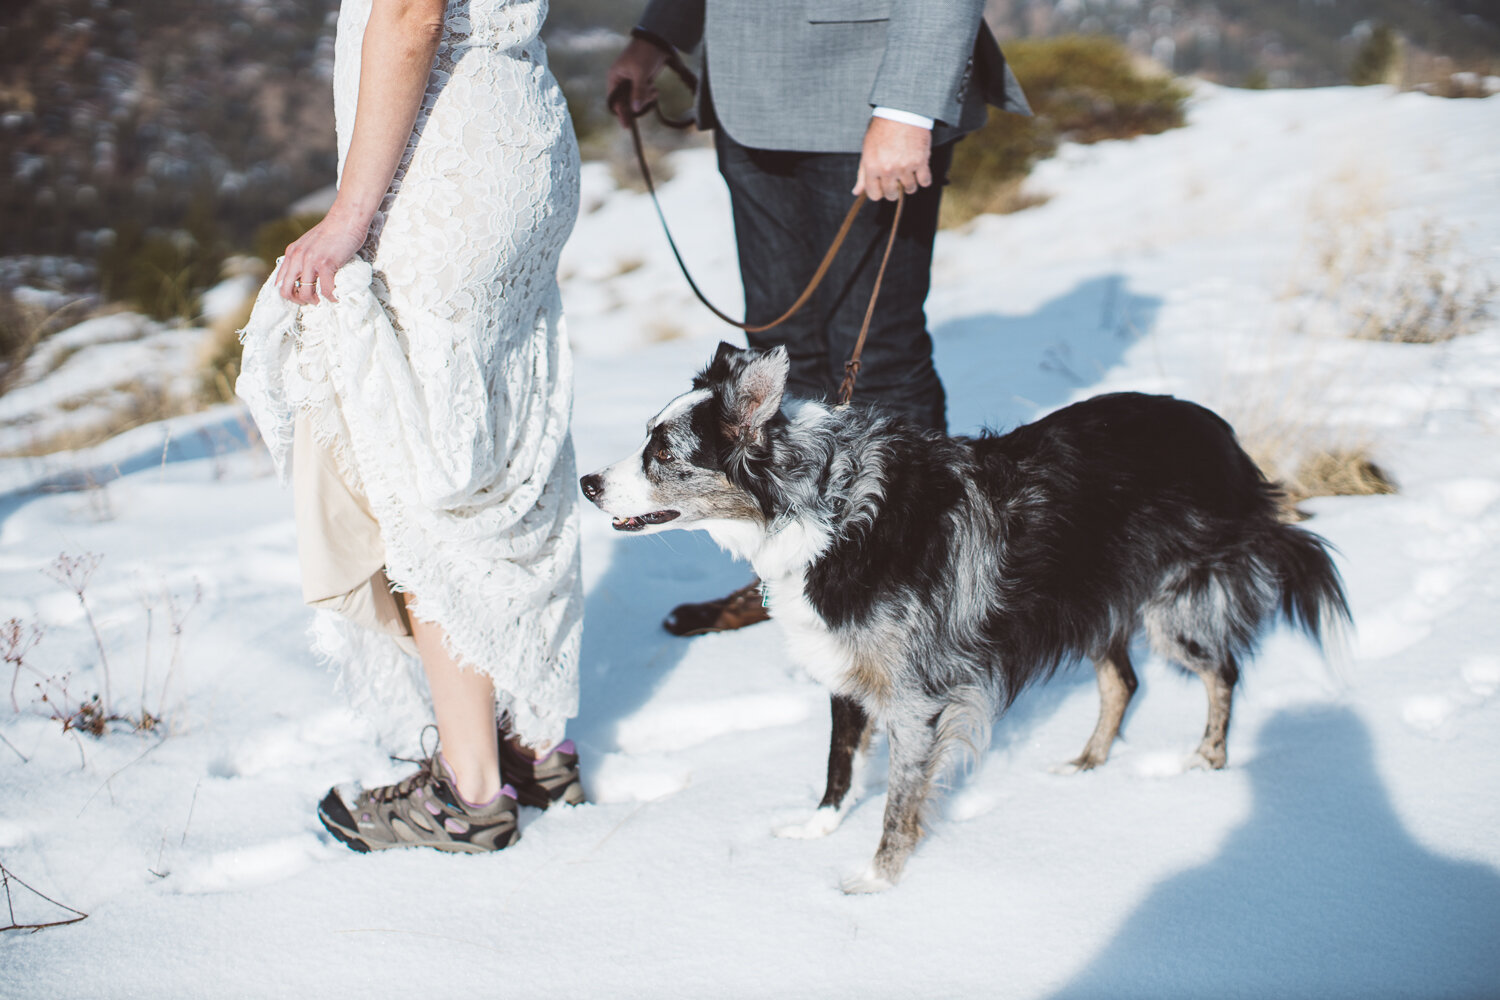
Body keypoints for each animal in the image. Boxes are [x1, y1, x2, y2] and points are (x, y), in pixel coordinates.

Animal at [579, 344, 1356, 893]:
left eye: (662, 454)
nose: (586, 483)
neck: (818, 510)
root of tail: (1221, 433)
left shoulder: (918, 695)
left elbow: (900, 798)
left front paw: (877, 879)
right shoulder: (847, 666)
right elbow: (838, 760)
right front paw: (815, 828)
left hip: (1173, 604)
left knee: (1222, 669)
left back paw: (1205, 762)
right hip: (1090, 597)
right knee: (1124, 682)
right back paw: (1086, 764)